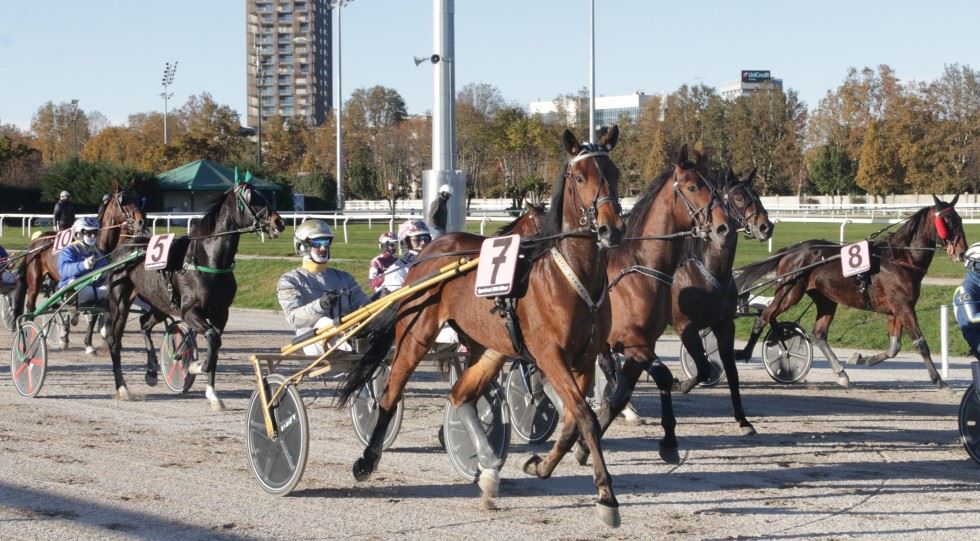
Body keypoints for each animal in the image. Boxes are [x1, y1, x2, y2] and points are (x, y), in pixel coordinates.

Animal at [11, 181, 146, 350]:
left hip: (54, 279)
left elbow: (95, 311)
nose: (141, 221)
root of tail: (35, 242)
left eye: (137, 199)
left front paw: (90, 342)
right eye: (123, 201)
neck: (97, 243)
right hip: (35, 279)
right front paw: (82, 340)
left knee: (56, 305)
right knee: (31, 306)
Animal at [105, 182, 286, 410]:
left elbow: (215, 344)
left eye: (266, 196)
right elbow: (212, 337)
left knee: (144, 323)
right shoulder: (189, 311)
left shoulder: (221, 313)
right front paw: (195, 365)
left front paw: (213, 395)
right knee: (114, 340)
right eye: (253, 199)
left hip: (160, 303)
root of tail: (122, 249)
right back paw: (122, 388)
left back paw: (152, 371)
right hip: (120, 301)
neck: (207, 259)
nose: (279, 222)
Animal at [340, 125, 624, 524]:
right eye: (581, 177)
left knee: (461, 395)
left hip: (489, 348)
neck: (569, 275)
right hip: (415, 333)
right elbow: (584, 416)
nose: (612, 229)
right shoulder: (550, 355)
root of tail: (430, 250)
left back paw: (489, 468)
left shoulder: (584, 358)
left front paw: (540, 465)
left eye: (614, 173)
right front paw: (606, 497)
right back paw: (368, 459)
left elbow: (573, 420)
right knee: (391, 393)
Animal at [668, 167, 772, 436]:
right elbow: (704, 367)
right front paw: (681, 384)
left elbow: (732, 372)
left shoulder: (724, 324)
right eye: (738, 198)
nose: (766, 226)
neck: (709, 270)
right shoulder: (684, 326)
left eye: (757, 195)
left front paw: (743, 420)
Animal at [736, 196, 964, 390]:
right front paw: (939, 380)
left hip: (825, 299)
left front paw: (864, 359)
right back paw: (745, 353)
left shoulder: (896, 310)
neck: (899, 259)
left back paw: (841, 373)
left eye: (959, 218)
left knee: (818, 333)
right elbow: (920, 343)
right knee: (765, 317)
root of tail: (791, 250)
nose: (962, 251)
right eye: (946, 221)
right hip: (789, 291)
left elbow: (894, 347)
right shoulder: (904, 307)